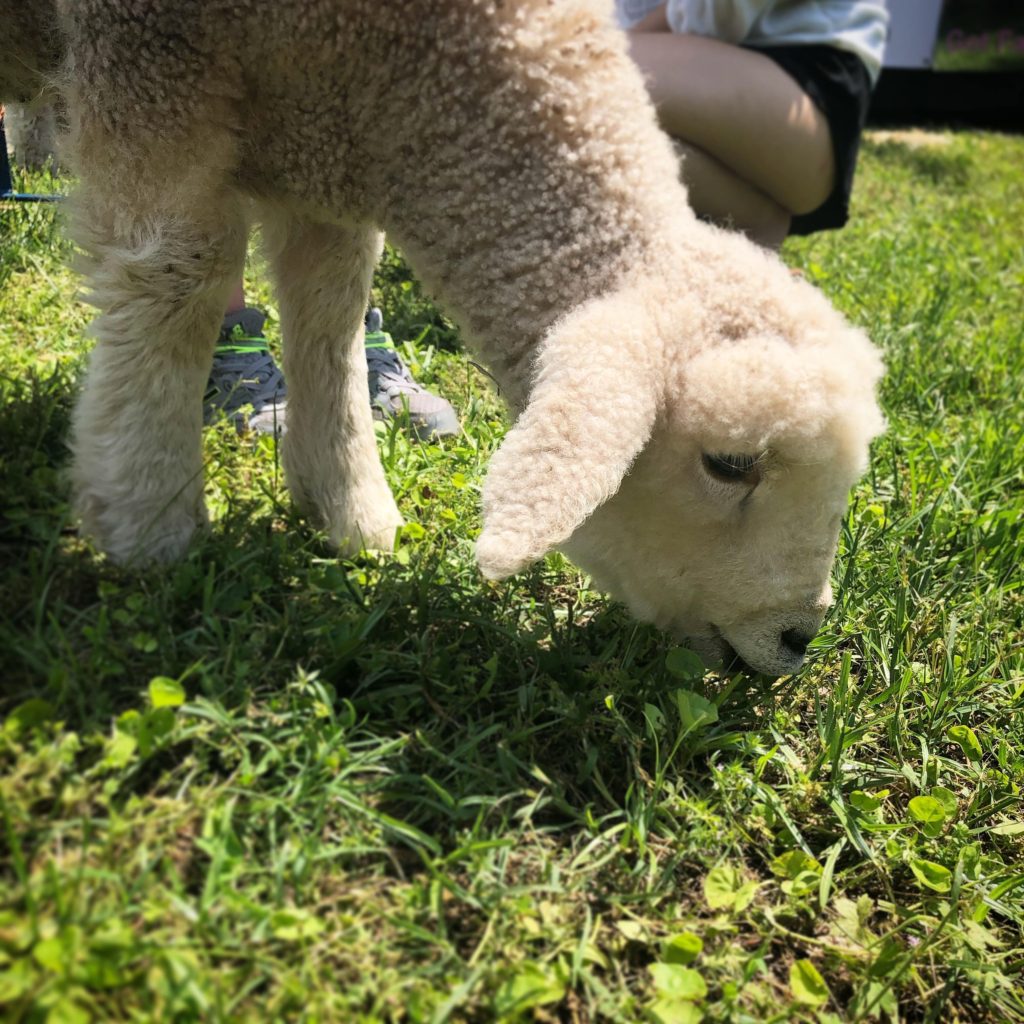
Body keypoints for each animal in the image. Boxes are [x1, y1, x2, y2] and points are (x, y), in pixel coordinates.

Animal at [0, 2, 884, 679]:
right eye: (728, 465)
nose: (799, 638)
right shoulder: (151, 53)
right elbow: (176, 271)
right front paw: (147, 525)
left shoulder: (321, 130)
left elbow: (330, 309)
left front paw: (348, 507)